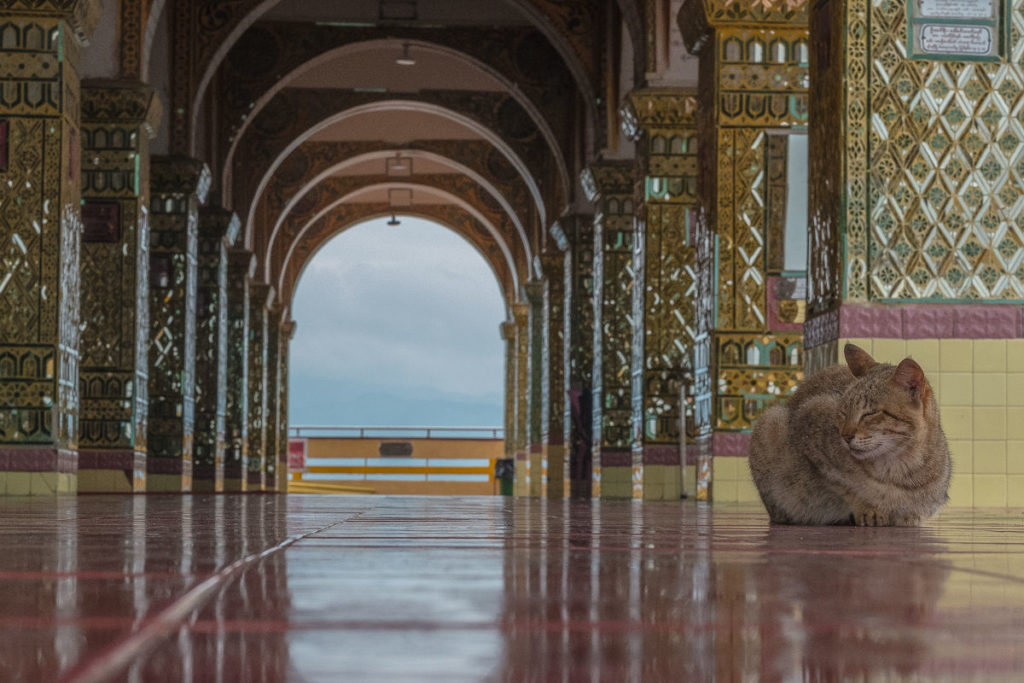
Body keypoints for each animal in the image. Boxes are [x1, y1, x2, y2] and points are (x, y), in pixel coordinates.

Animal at [745, 344, 950, 528]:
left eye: (870, 413)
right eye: (843, 411)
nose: (845, 436)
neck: (899, 470)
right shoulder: (809, 428)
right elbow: (845, 486)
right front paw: (867, 508)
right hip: (769, 423)